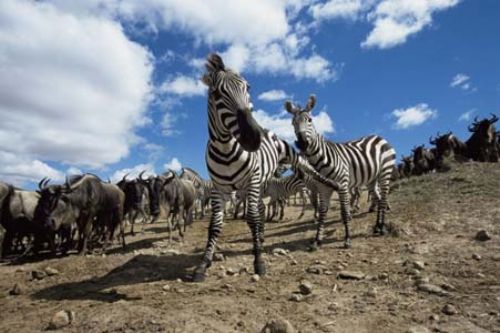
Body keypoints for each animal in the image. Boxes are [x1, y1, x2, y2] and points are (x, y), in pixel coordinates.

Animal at [192, 53, 340, 280]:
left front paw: (259, 261)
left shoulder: (251, 181)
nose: (254, 137)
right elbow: (215, 225)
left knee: (307, 167)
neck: (226, 149)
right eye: (216, 93)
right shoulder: (219, 189)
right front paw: (203, 264)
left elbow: (252, 218)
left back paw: (331, 182)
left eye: (248, 87)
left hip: (285, 159)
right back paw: (260, 238)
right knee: (261, 208)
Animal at [286, 94, 398, 248]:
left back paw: (382, 228)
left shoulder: (342, 185)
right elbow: (322, 212)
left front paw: (347, 239)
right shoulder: (323, 188)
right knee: (379, 198)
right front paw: (317, 240)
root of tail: (379, 137)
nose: (302, 143)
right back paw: (377, 226)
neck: (320, 160)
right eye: (292, 123)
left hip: (385, 172)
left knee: (384, 198)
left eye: (310, 120)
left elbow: (344, 212)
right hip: (371, 179)